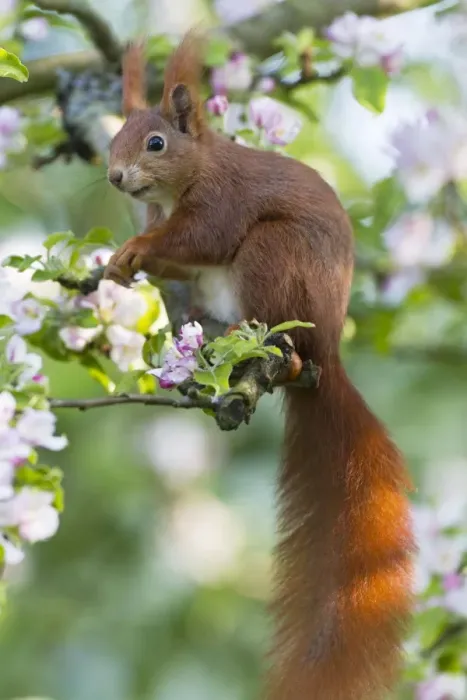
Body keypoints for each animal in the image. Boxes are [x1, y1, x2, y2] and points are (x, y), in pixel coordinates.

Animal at [105, 33, 415, 700]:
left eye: (156, 143)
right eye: (114, 137)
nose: (115, 176)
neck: (193, 173)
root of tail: (326, 353)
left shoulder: (220, 204)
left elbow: (203, 237)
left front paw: (136, 249)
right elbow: (179, 258)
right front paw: (125, 264)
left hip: (275, 258)